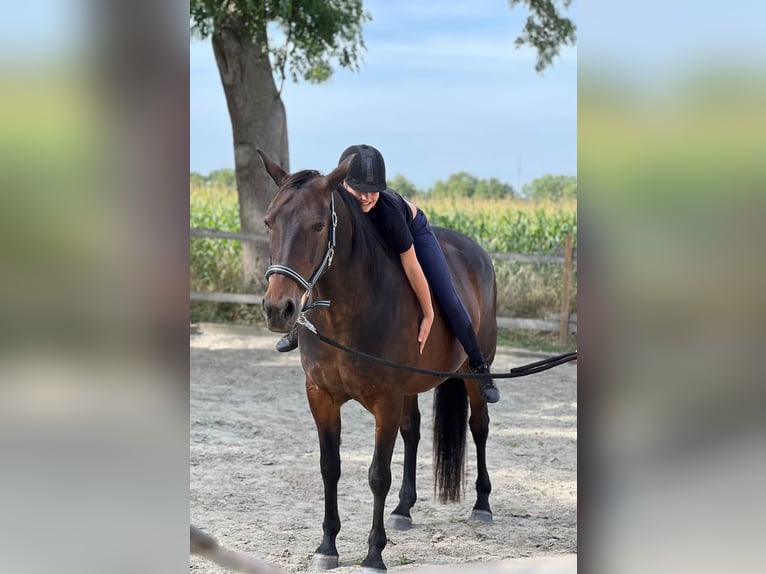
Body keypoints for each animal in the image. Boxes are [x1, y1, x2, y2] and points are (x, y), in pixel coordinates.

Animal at [258, 151, 498, 572]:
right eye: (270, 222)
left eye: (318, 225)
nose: (278, 308)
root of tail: (476, 252)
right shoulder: (320, 396)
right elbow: (330, 467)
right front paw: (327, 546)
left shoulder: (385, 400)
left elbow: (377, 475)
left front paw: (373, 553)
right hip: (411, 386)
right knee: (413, 430)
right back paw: (403, 509)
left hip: (470, 373)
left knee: (479, 427)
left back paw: (482, 504)